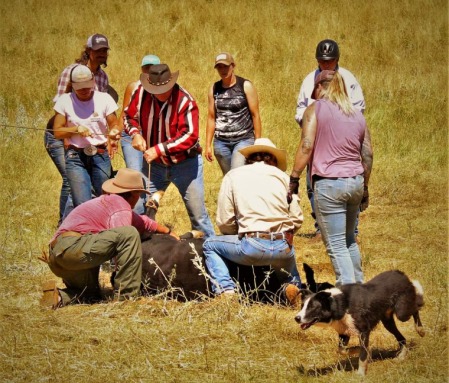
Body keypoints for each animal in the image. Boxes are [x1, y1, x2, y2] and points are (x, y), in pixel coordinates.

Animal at [294, 272, 424, 376]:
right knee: (402, 338)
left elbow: (362, 354)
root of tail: (401, 274)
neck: (340, 304)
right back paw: (401, 356)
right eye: (302, 306)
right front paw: (364, 352)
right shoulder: (344, 333)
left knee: (416, 308)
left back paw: (420, 330)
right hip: (387, 321)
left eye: (312, 307)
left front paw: (361, 374)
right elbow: (342, 350)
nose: (296, 318)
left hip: (402, 313)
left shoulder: (364, 331)